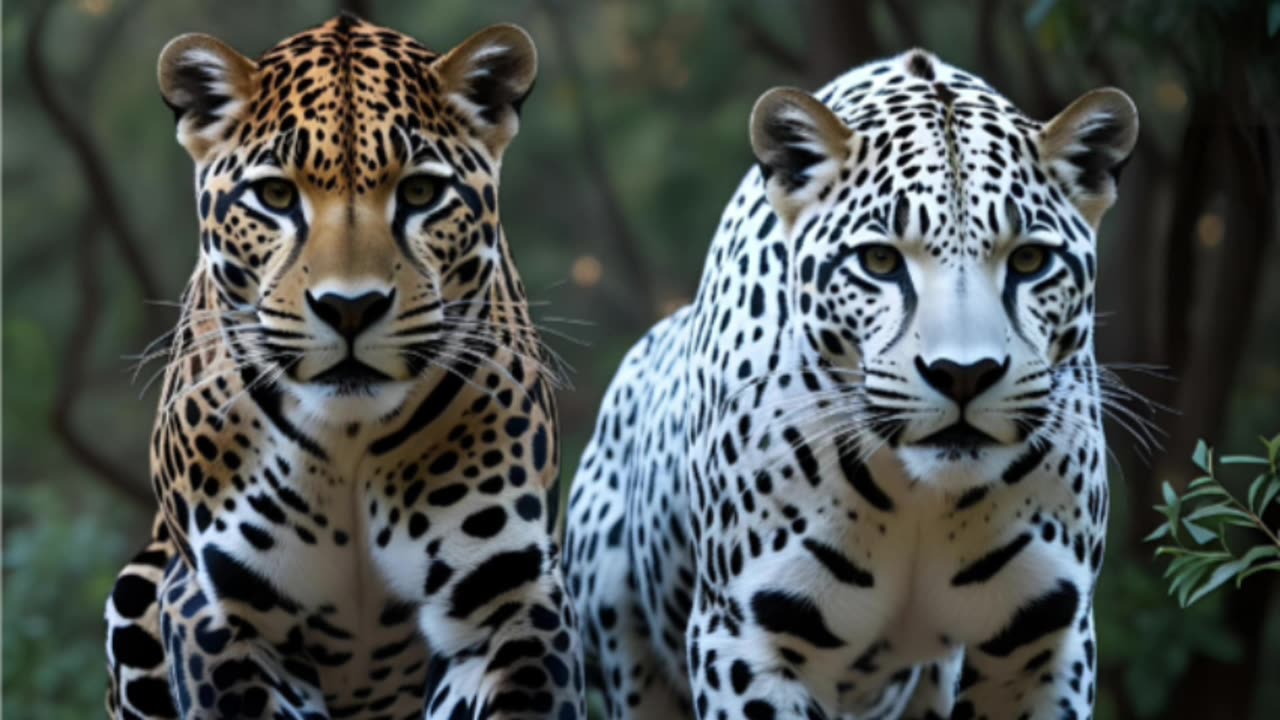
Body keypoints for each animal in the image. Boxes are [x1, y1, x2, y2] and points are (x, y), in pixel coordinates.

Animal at [103, 13, 585, 720]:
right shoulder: (222, 611)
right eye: (276, 194)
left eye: (420, 191)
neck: (351, 436)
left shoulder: (506, 597)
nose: (349, 308)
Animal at [564, 49, 1137, 719]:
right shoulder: (747, 637)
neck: (921, 497)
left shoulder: (1043, 640)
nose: (963, 375)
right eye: (880, 262)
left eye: (1028, 260)